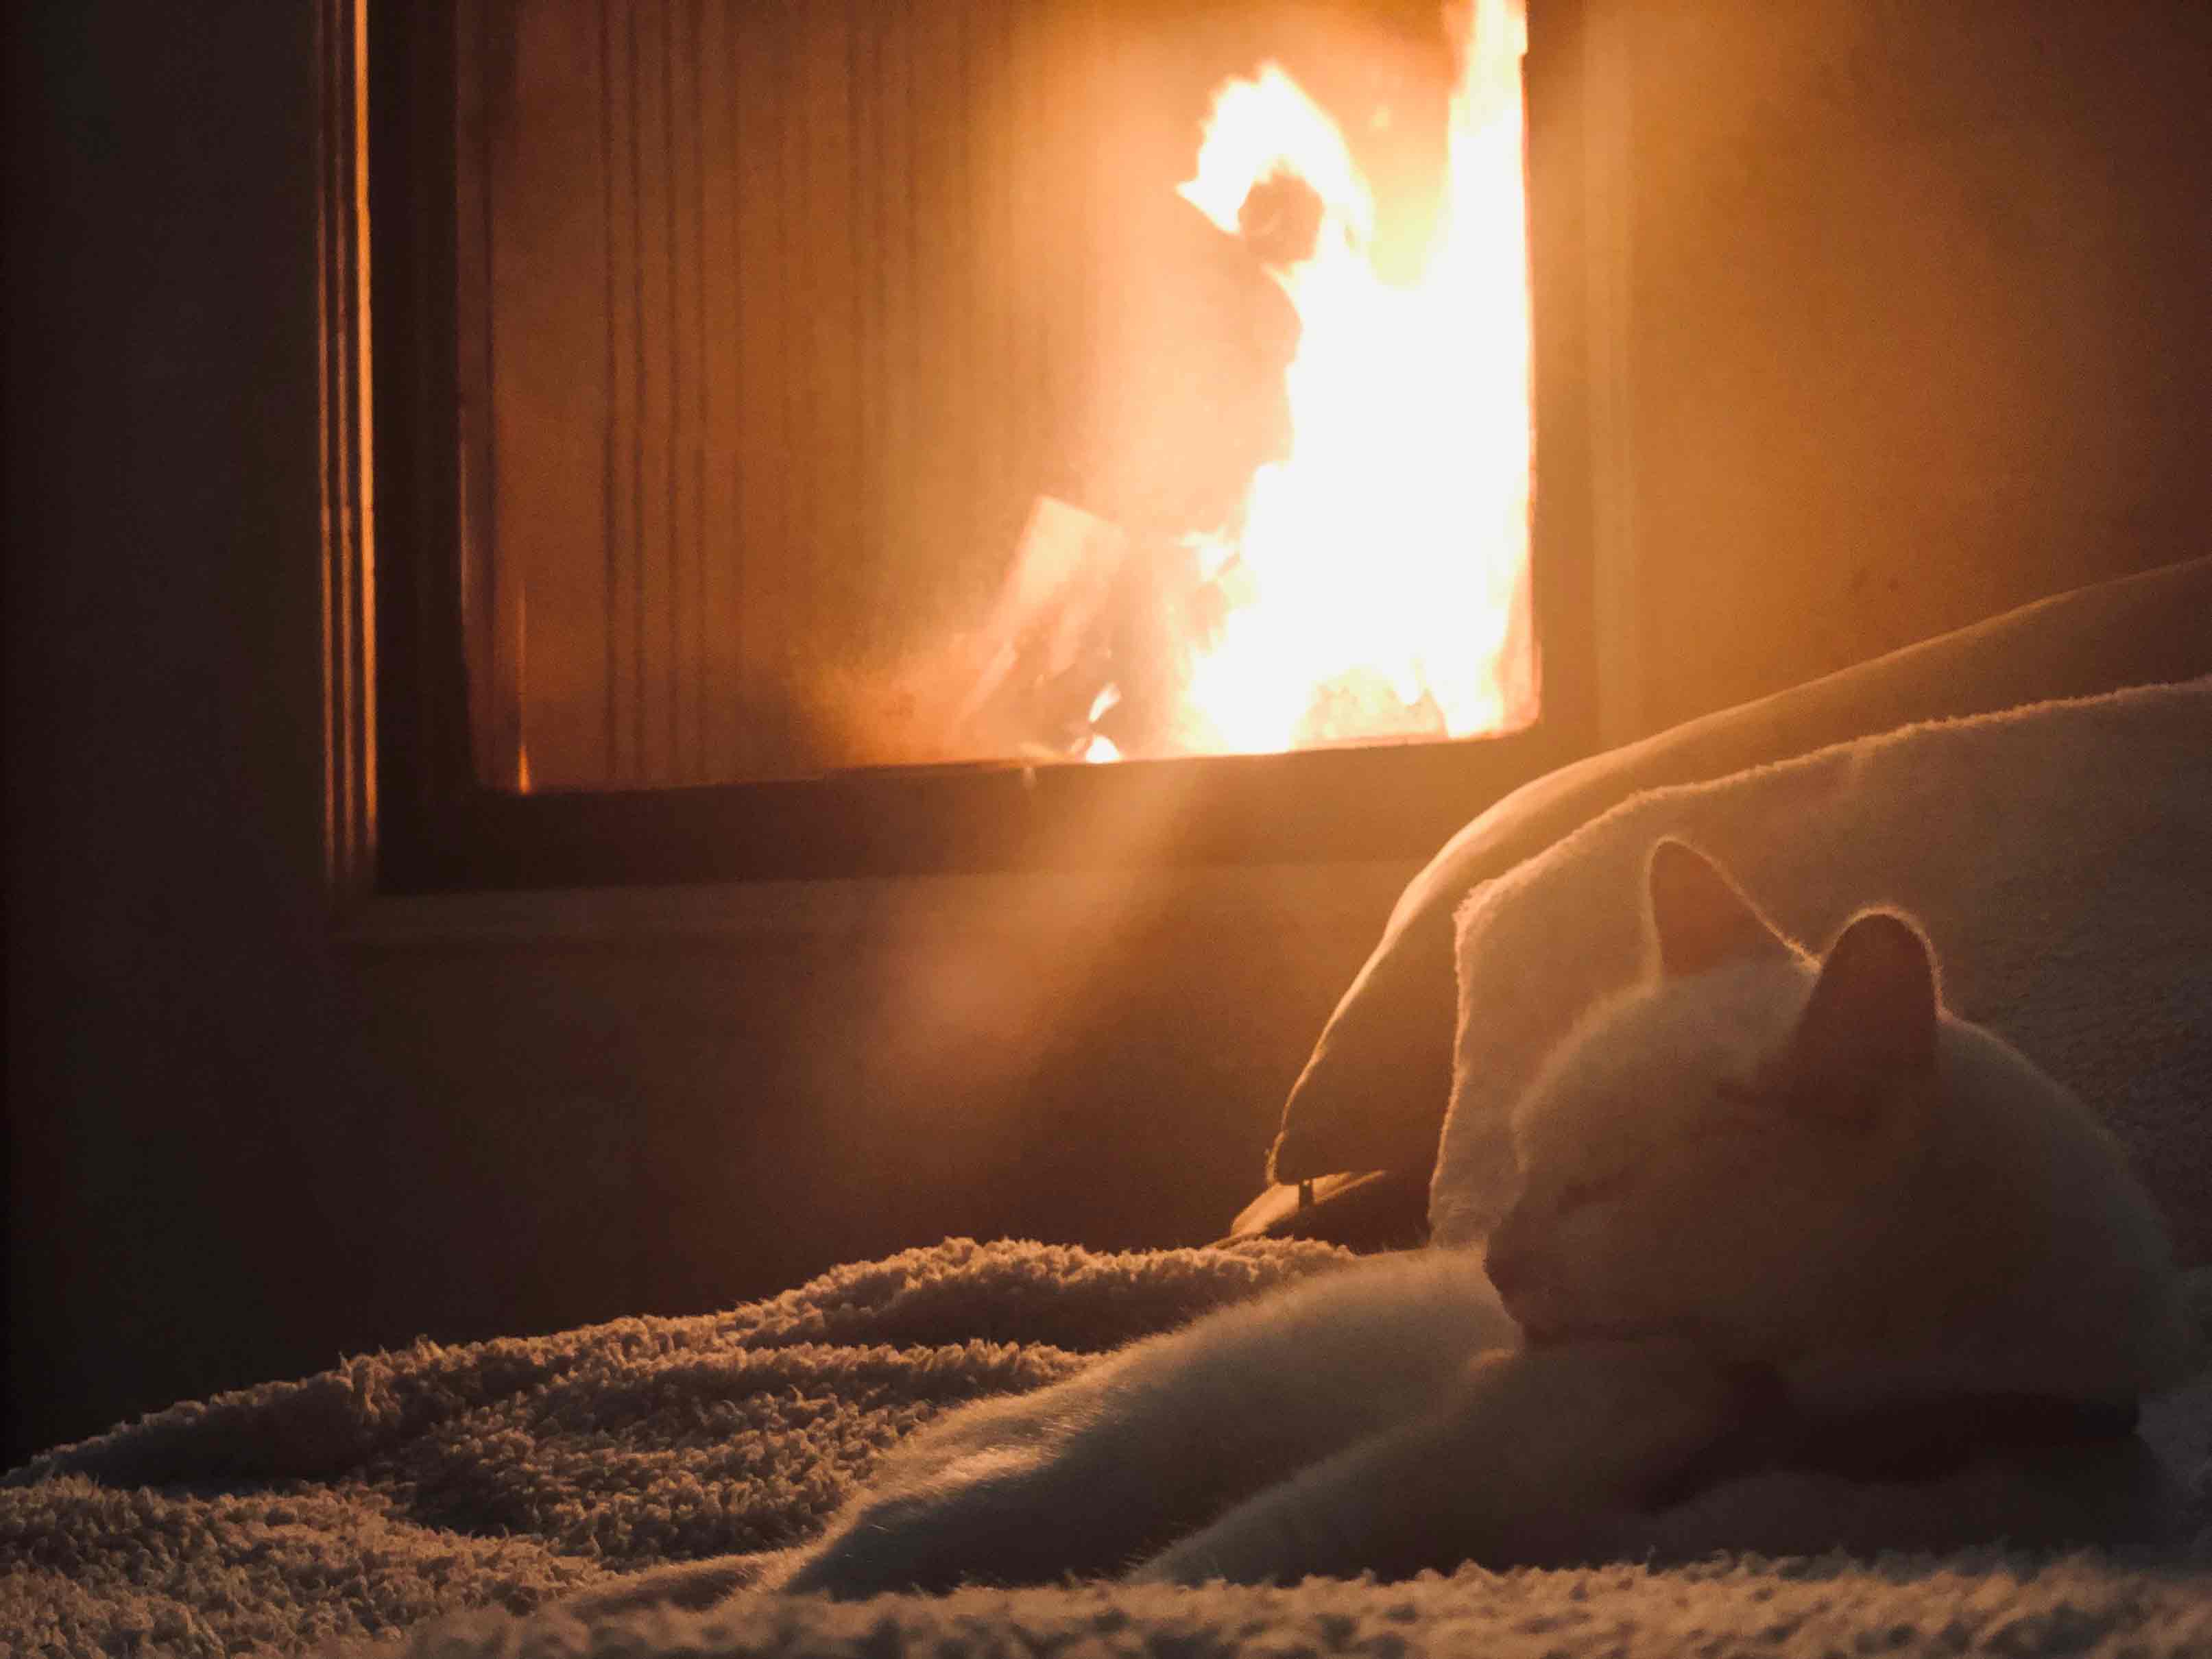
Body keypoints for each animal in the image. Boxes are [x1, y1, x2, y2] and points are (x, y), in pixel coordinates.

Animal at [769, 845, 2185, 1601]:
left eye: (1600, 1188)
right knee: (821, 1572)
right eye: (1528, 1166)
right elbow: (1206, 1568)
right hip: (1065, 1469)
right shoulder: (1408, 1480)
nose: (1496, 1266)